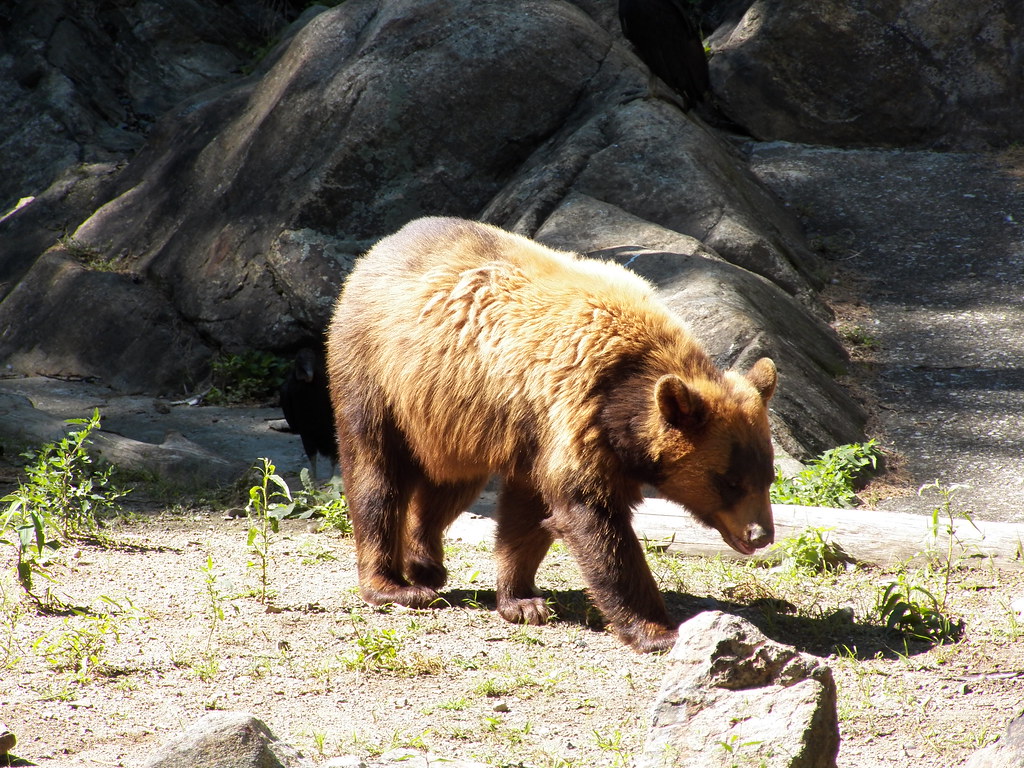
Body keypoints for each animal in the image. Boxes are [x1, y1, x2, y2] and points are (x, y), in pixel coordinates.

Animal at [326, 216, 777, 653]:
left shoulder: (534, 437)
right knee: (376, 476)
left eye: (768, 477)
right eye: (729, 481)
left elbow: (528, 515)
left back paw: (426, 563)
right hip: (376, 373)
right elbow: (592, 519)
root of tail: (381, 247)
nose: (761, 535)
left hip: (452, 417)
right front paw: (657, 629)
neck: (625, 392)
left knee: (449, 485)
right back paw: (391, 585)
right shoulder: (573, 413)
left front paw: (521, 599)